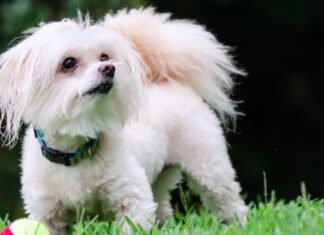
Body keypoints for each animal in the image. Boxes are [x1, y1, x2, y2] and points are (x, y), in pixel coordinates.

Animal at [0, 7, 247, 235]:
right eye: (68, 63)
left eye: (104, 57)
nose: (109, 68)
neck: (77, 151)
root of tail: (169, 81)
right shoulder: (46, 212)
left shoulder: (132, 195)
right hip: (160, 178)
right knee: (163, 205)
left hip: (208, 166)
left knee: (229, 201)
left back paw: (238, 225)